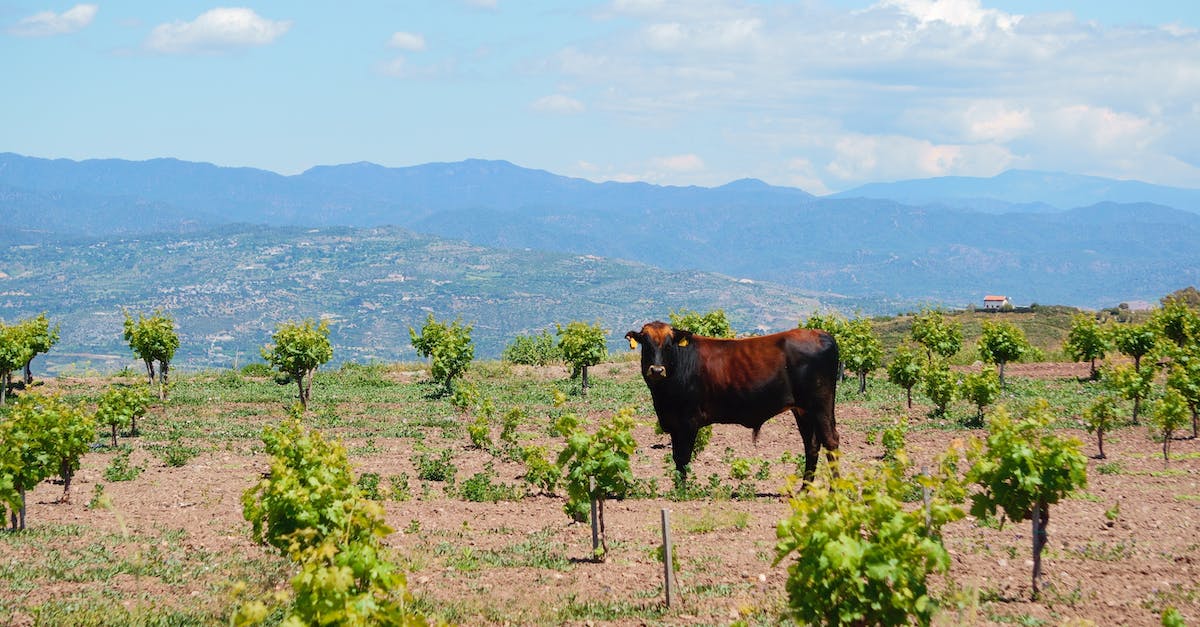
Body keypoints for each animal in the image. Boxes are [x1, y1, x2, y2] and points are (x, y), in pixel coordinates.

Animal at [625, 321, 840, 483]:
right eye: (646, 343)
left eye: (669, 344)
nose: (657, 370)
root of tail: (820, 334)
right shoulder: (674, 422)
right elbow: (677, 457)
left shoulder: (688, 421)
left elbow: (683, 457)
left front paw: (682, 491)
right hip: (802, 409)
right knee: (812, 445)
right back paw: (805, 490)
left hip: (820, 405)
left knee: (831, 441)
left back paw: (835, 491)